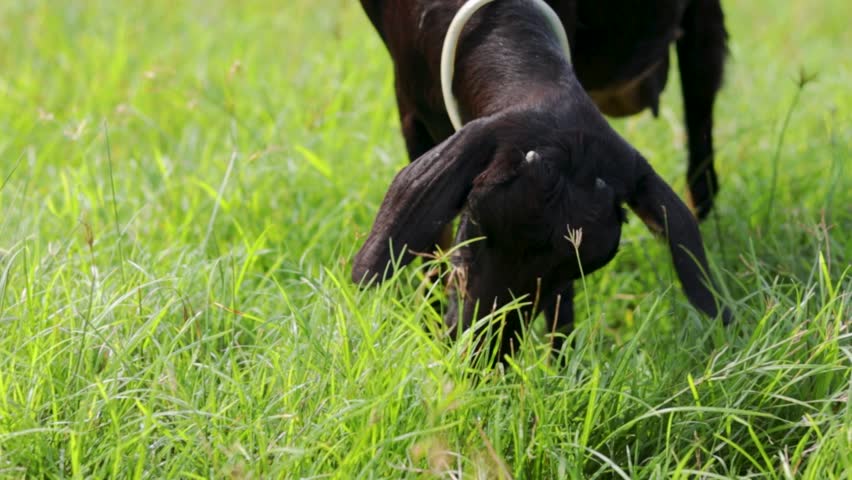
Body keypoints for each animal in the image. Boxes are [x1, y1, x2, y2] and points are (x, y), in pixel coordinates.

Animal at [353, 0, 730, 356]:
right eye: (475, 220)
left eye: (572, 270)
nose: (482, 358)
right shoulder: (409, 105)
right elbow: (431, 250)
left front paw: (560, 366)